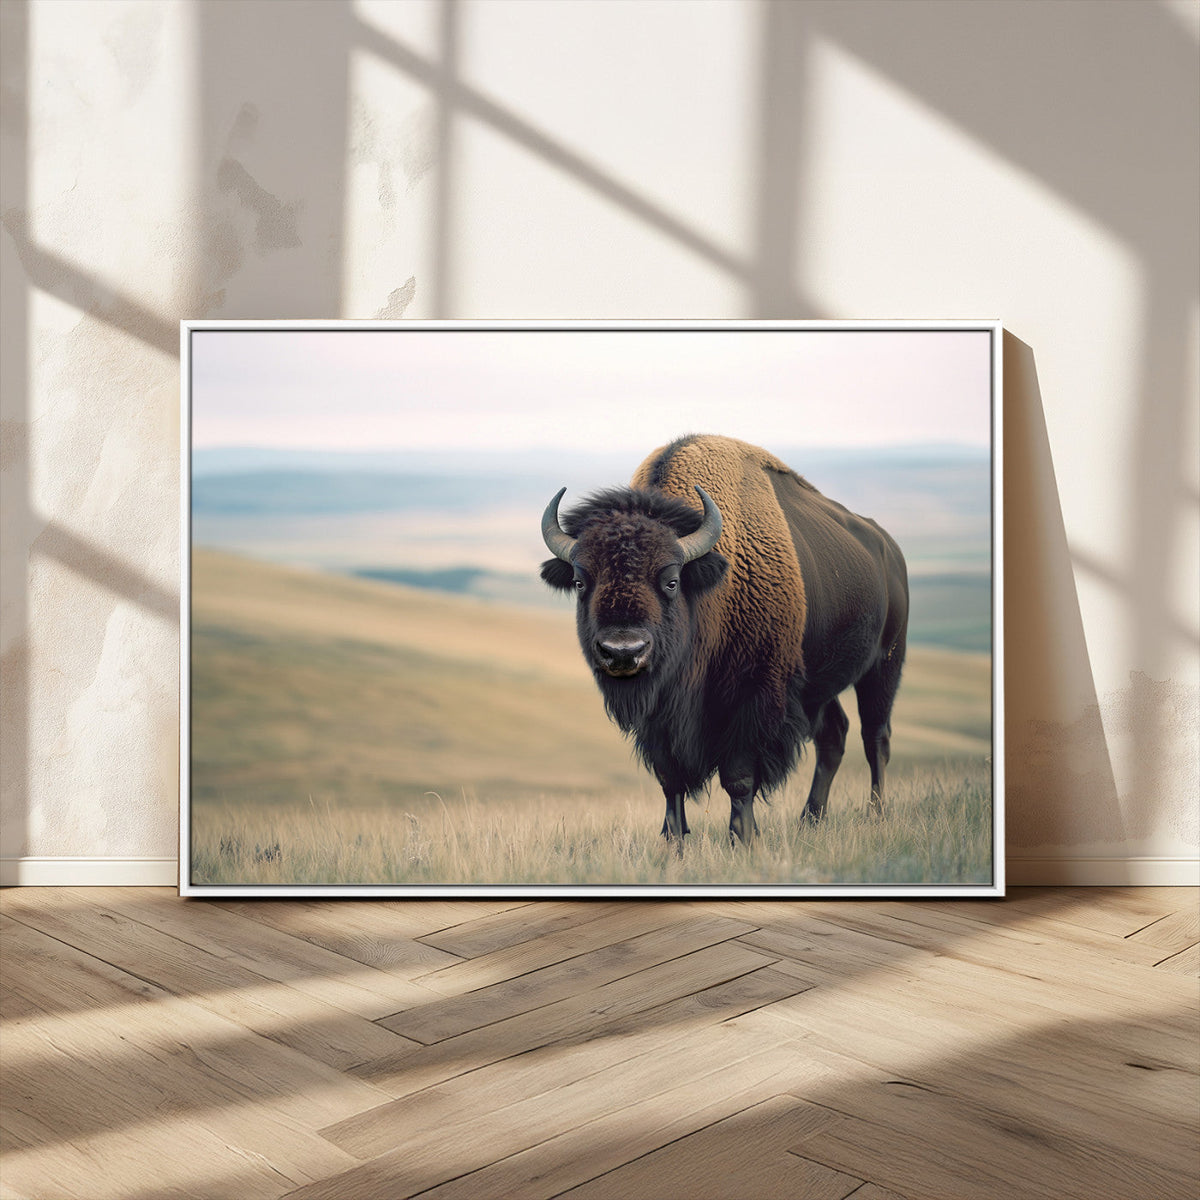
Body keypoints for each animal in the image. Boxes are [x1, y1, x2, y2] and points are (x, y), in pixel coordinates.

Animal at [540, 434, 909, 847]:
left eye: (671, 580)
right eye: (579, 582)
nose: (623, 651)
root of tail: (890, 550)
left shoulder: (753, 697)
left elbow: (739, 777)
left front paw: (742, 838)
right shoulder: (660, 719)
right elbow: (670, 779)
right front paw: (674, 839)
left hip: (884, 665)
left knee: (875, 737)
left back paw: (876, 814)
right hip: (817, 685)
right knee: (834, 736)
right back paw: (810, 819)